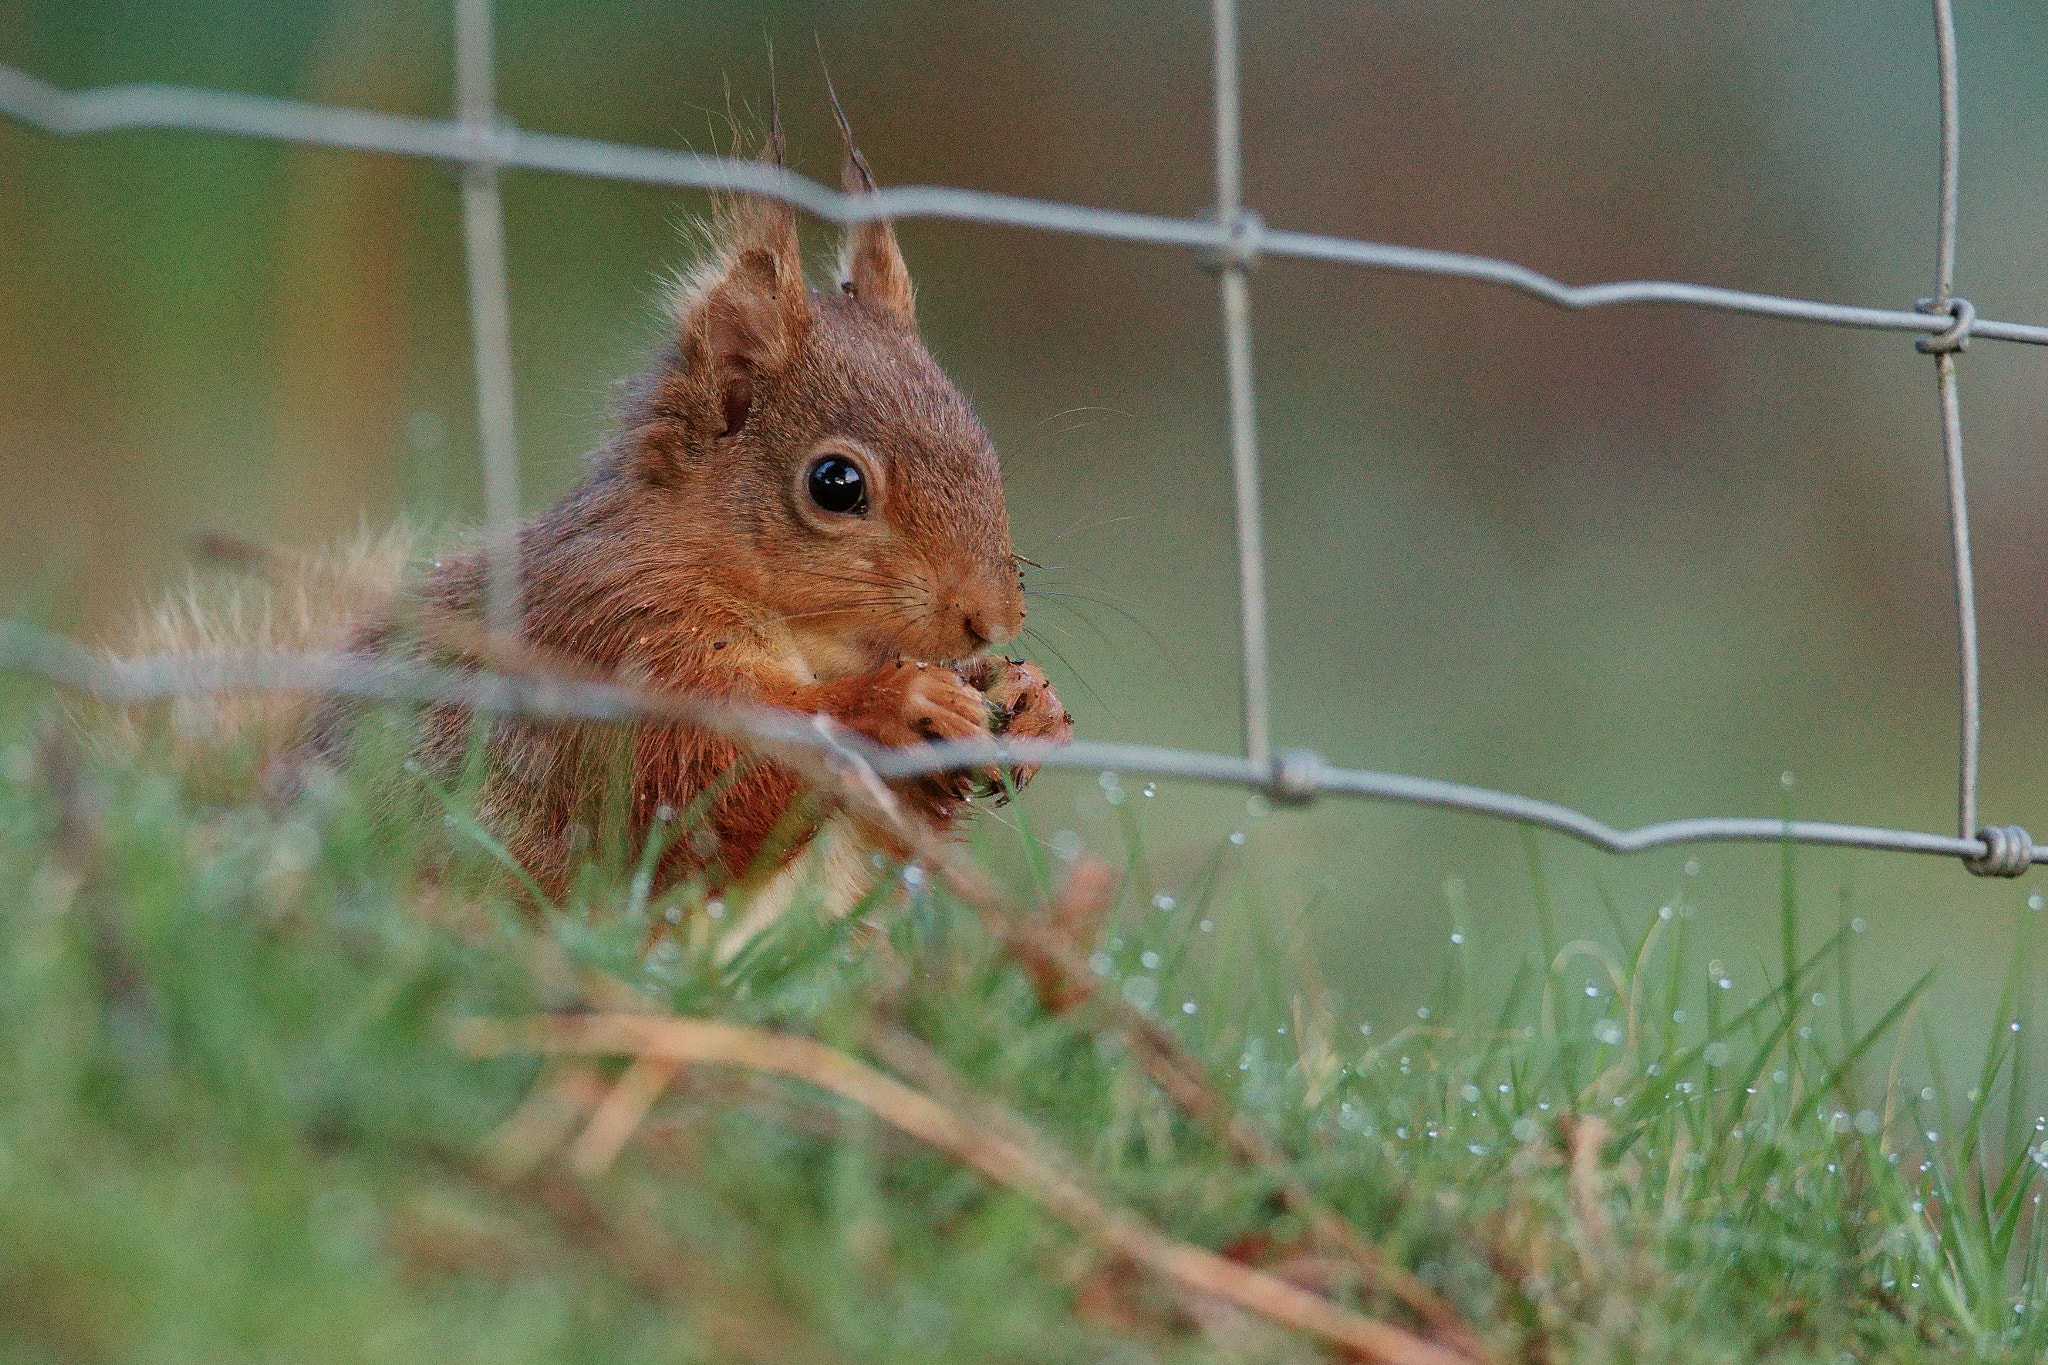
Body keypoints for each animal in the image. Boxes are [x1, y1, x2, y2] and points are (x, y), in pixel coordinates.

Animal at [303, 122, 1073, 900]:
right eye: (835, 483)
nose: (992, 620)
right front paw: (893, 702)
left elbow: (873, 842)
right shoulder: (609, 641)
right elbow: (682, 790)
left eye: (985, 448)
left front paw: (1032, 702)